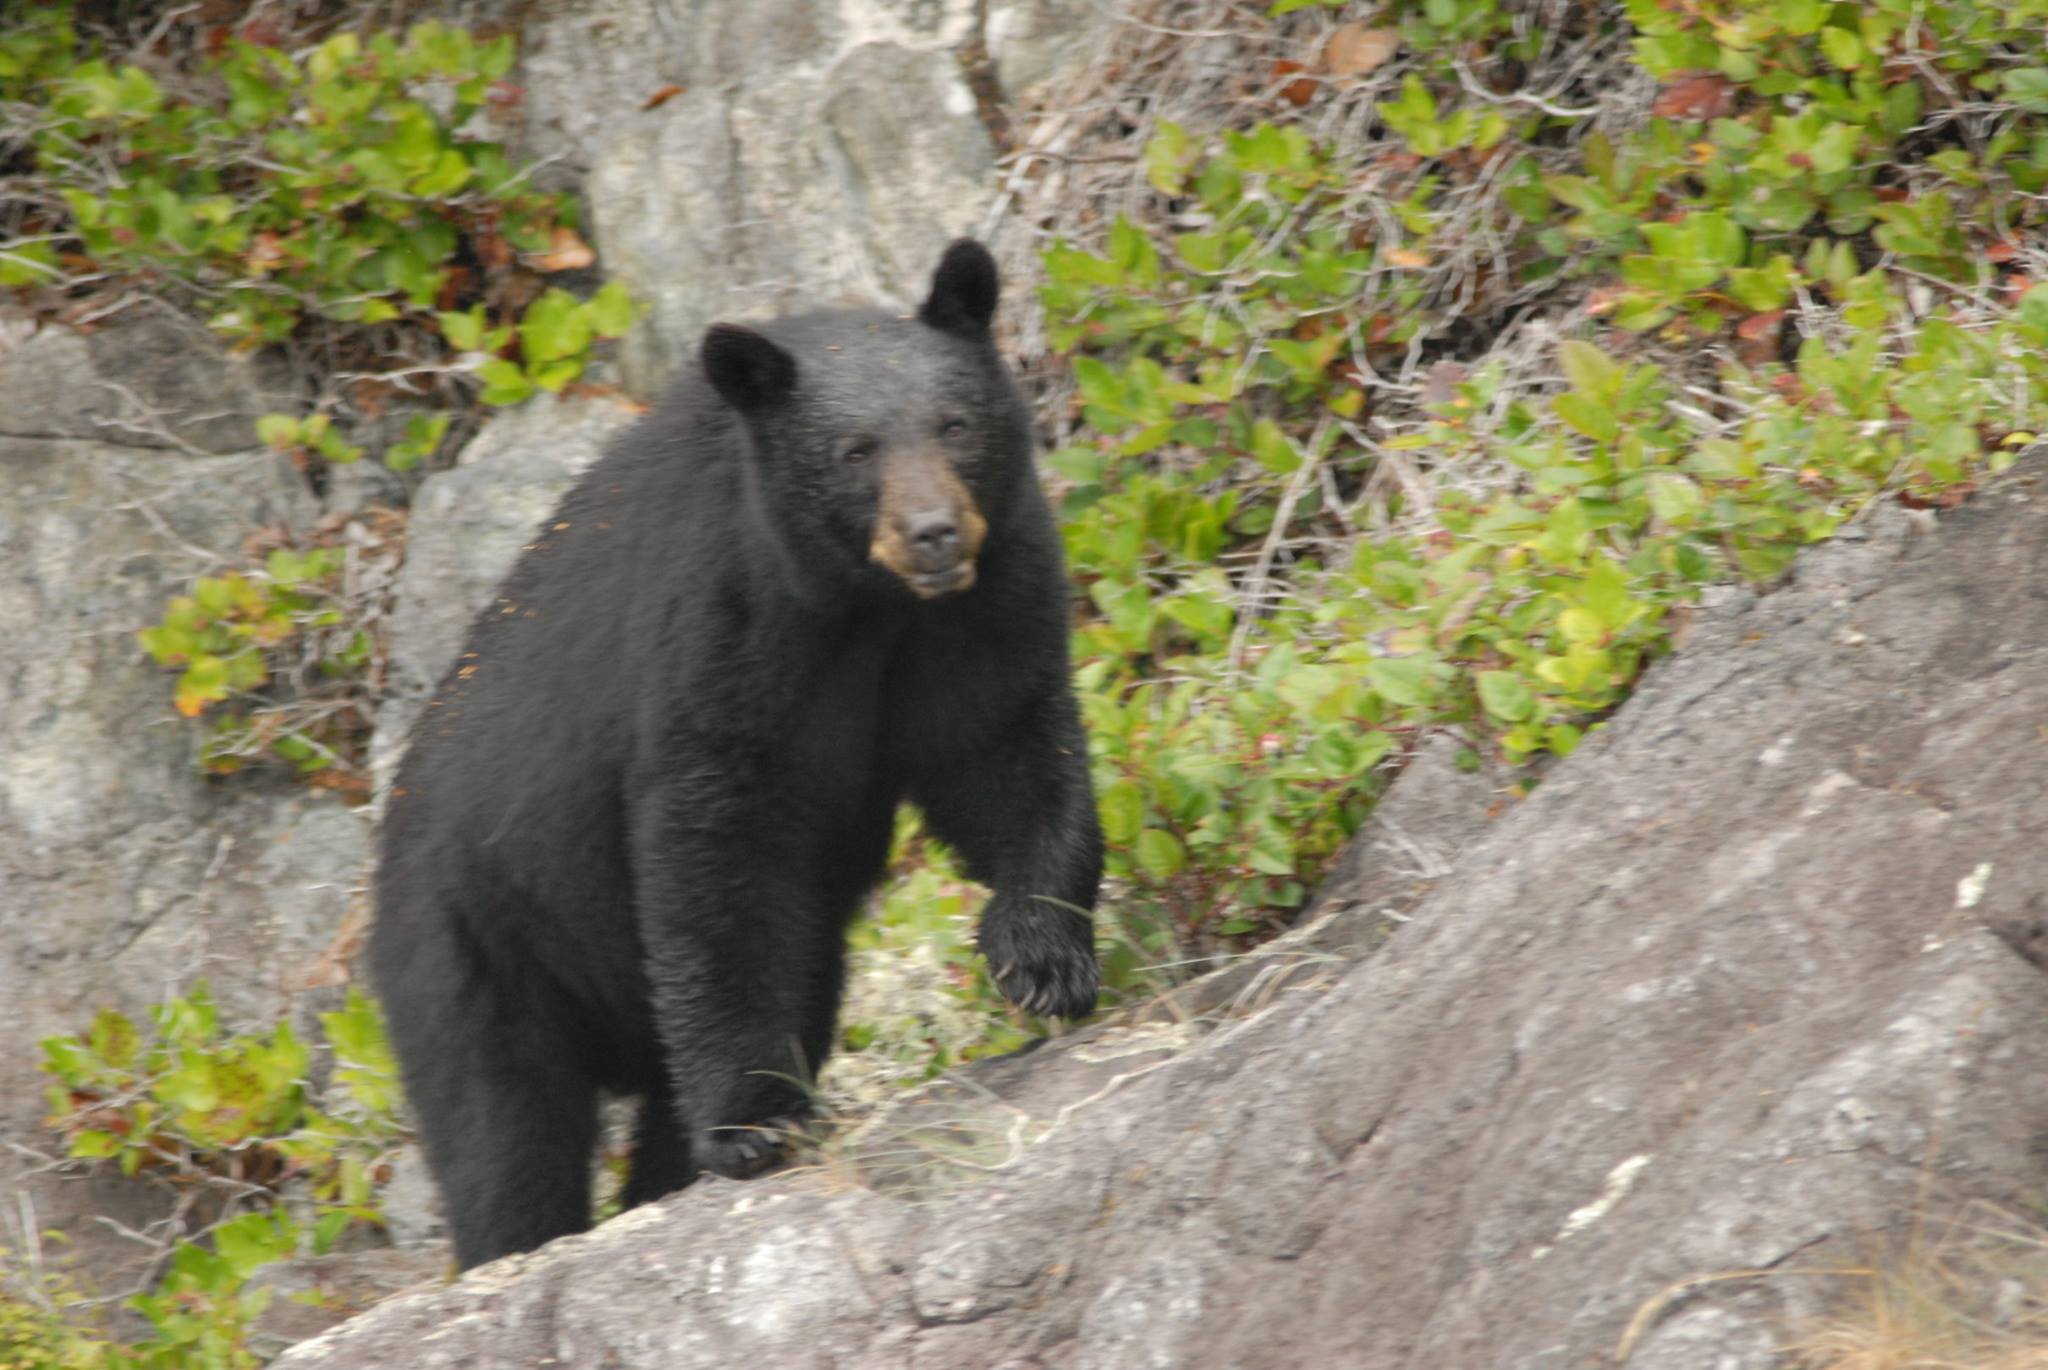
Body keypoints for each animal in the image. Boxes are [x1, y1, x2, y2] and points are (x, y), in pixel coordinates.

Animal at [370, 240, 1103, 1270]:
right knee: (503, 1133)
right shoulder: (722, 624)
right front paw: (752, 1123)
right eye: (854, 451)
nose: (934, 533)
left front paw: (1041, 956)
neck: (865, 604)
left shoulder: (982, 602)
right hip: (474, 941)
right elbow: (720, 852)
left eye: (955, 425)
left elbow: (1002, 745)